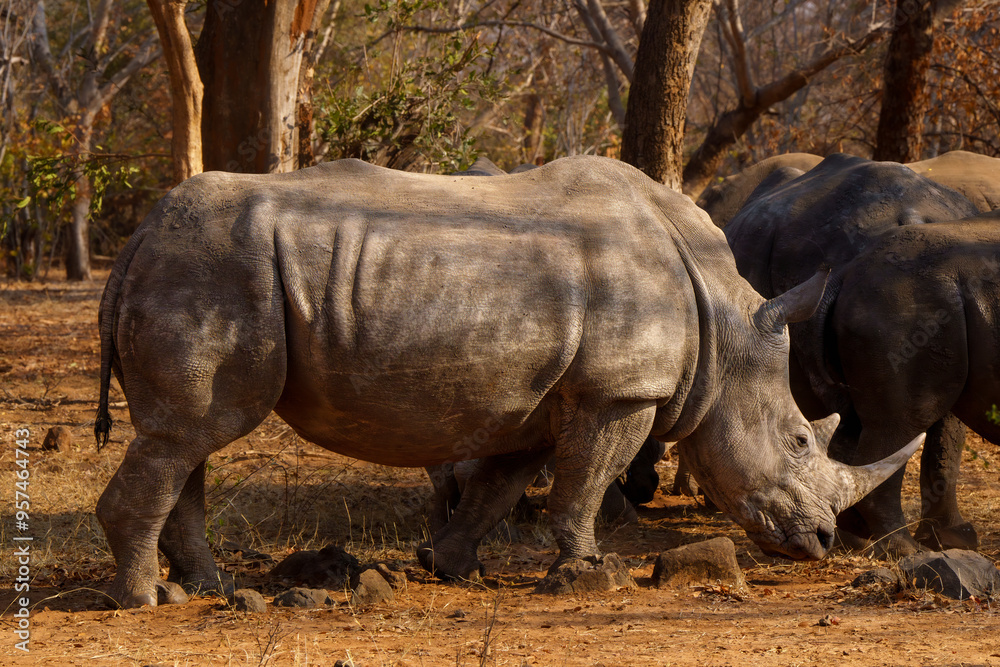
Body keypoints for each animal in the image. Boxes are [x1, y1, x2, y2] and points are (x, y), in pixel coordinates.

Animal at [94, 156, 919, 608]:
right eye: (799, 440)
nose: (822, 542)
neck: (726, 319)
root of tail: (137, 236)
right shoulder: (620, 391)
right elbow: (585, 481)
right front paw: (590, 573)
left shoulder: (544, 398)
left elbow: (502, 483)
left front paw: (452, 567)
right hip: (212, 269)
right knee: (187, 435)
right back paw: (145, 601)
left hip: (204, 267)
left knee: (189, 440)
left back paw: (205, 589)